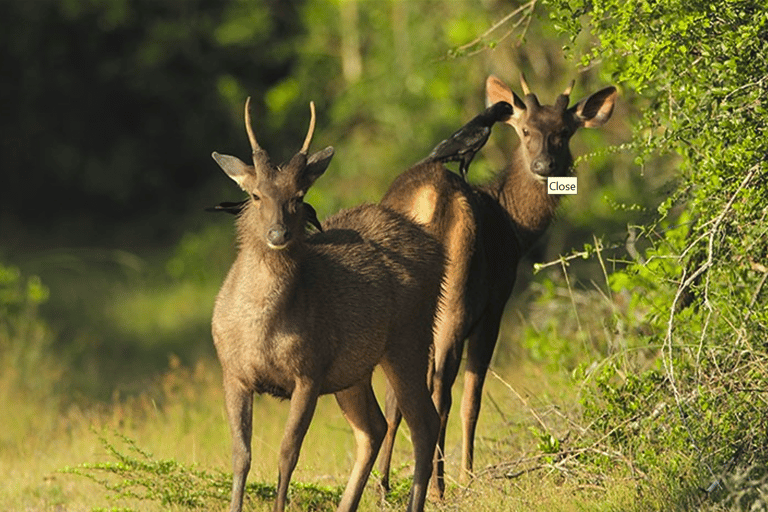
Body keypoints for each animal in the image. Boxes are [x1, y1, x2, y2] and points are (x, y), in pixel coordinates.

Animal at [212, 98, 444, 510]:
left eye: (299, 196)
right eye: (255, 195)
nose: (278, 234)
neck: (260, 330)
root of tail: (437, 249)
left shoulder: (310, 370)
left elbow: (288, 452)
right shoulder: (233, 371)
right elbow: (241, 455)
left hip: (409, 338)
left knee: (422, 423)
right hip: (354, 371)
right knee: (374, 428)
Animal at [378, 73, 616, 496]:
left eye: (564, 131)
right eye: (525, 131)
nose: (544, 165)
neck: (515, 229)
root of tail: (430, 200)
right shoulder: (495, 306)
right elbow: (473, 400)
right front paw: (467, 477)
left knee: (399, 391)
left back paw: (385, 485)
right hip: (456, 301)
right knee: (441, 390)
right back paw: (439, 486)